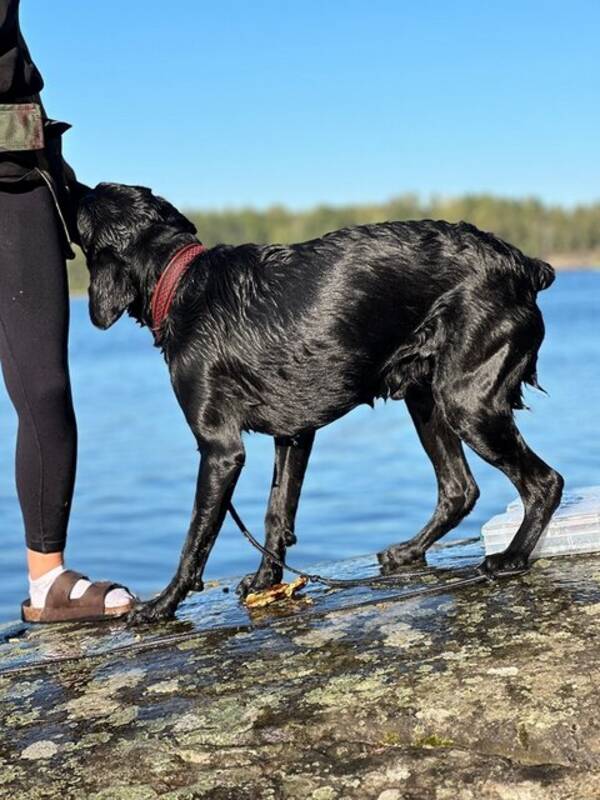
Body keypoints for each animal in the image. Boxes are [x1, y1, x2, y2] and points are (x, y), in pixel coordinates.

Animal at [77, 184, 564, 620]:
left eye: (85, 202)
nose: (71, 184)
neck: (181, 284)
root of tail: (521, 264)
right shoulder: (293, 433)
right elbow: (276, 514)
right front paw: (266, 582)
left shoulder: (219, 449)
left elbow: (197, 536)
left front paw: (162, 604)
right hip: (427, 398)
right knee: (460, 489)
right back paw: (409, 550)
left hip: (467, 402)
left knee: (545, 481)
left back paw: (511, 557)